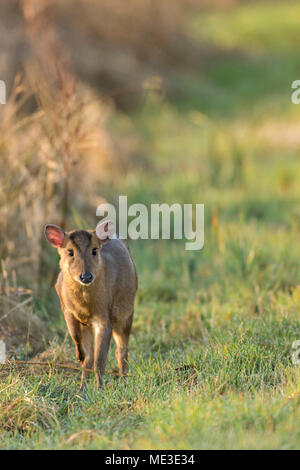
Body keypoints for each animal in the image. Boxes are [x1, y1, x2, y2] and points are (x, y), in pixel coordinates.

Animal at [44, 220, 138, 390]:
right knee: (92, 357)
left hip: (126, 313)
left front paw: (100, 388)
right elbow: (78, 340)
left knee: (121, 351)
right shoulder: (66, 309)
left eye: (94, 250)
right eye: (70, 252)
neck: (85, 306)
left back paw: (123, 383)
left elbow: (99, 360)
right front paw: (79, 356)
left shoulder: (104, 317)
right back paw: (82, 387)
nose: (86, 276)